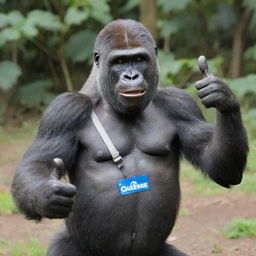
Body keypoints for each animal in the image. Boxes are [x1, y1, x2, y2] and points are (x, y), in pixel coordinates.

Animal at [12, 20, 248, 256]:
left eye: (139, 59)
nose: (131, 76)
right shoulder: (64, 111)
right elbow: (38, 164)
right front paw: (47, 195)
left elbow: (219, 167)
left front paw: (224, 98)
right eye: (119, 62)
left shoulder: (182, 105)